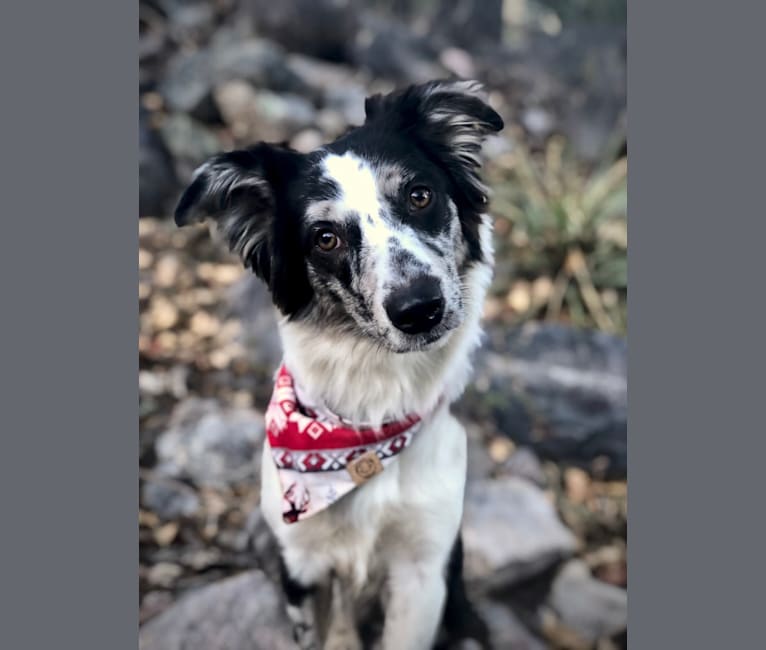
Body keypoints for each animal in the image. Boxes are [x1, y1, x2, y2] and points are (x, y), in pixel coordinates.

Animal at [174, 81, 504, 648]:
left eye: (420, 195)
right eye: (325, 237)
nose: (419, 309)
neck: (364, 430)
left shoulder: (424, 570)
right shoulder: (301, 563)